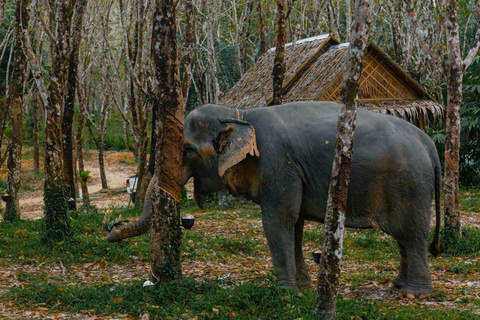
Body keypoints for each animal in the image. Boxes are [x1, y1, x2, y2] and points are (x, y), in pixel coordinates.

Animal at [107, 100, 440, 298]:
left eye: (188, 150)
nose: (111, 231)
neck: (239, 115)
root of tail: (428, 142)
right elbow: (295, 225)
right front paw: (302, 286)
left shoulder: (277, 164)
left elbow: (278, 220)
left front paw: (285, 291)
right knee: (403, 238)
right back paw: (399, 286)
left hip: (410, 185)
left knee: (412, 234)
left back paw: (416, 294)